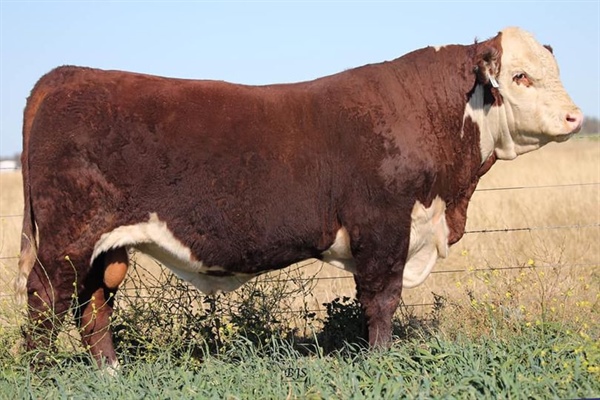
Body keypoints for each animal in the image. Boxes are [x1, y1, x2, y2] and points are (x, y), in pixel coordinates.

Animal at [17, 26, 580, 368]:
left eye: (553, 72)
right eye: (520, 76)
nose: (575, 117)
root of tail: (66, 75)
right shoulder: (383, 227)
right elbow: (382, 300)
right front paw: (380, 362)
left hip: (105, 247)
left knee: (93, 305)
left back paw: (110, 374)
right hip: (66, 238)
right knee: (45, 300)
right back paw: (42, 376)